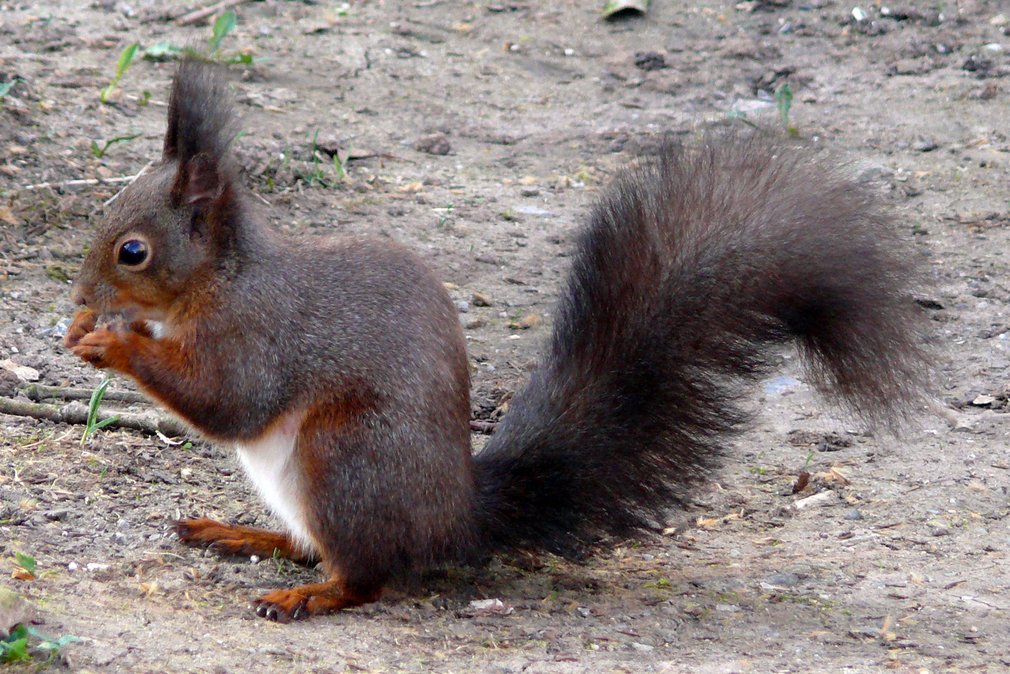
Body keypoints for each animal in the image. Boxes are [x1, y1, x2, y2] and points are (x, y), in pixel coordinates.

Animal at [65, 59, 928, 622]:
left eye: (132, 251)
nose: (77, 299)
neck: (219, 281)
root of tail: (456, 515)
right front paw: (91, 330)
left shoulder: (261, 333)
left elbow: (230, 401)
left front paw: (113, 344)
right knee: (319, 546)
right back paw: (243, 534)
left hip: (345, 459)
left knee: (369, 574)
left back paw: (310, 593)